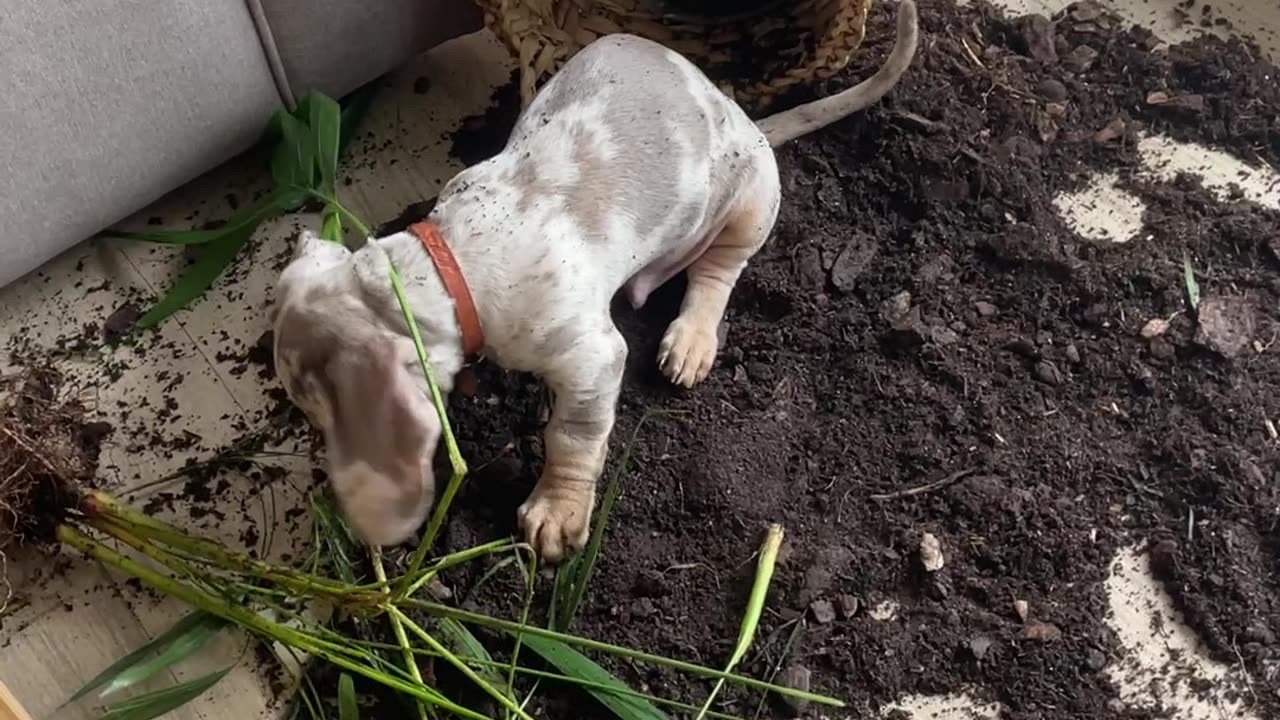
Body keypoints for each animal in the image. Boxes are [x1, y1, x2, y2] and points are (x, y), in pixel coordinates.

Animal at [270, 1, 916, 561]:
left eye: (312, 406)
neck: (448, 265)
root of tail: (748, 120)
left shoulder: (593, 357)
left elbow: (572, 435)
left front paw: (556, 516)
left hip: (753, 205)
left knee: (716, 273)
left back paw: (691, 343)